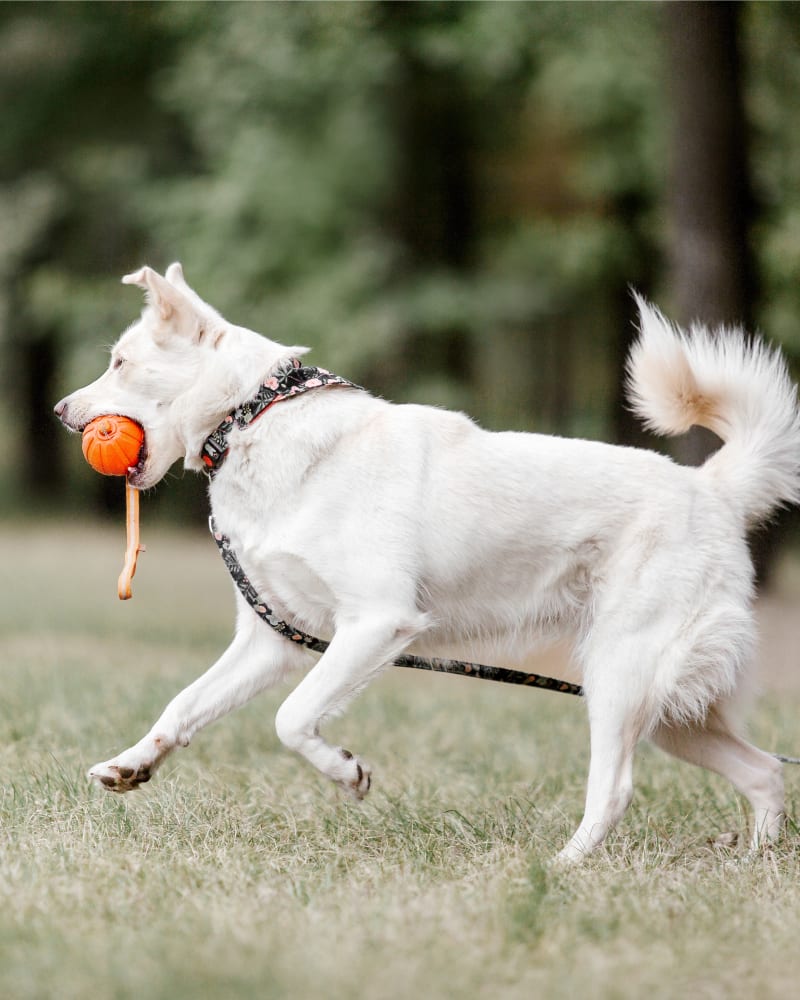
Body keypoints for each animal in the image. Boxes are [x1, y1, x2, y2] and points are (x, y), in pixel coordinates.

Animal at [53, 262, 796, 864]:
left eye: (118, 363)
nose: (60, 410)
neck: (255, 420)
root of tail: (712, 488)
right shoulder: (272, 641)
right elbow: (183, 705)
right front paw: (132, 765)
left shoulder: (377, 624)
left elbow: (292, 718)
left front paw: (346, 772)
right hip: (670, 711)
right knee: (765, 771)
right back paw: (756, 862)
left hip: (622, 679)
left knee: (616, 788)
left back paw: (560, 869)